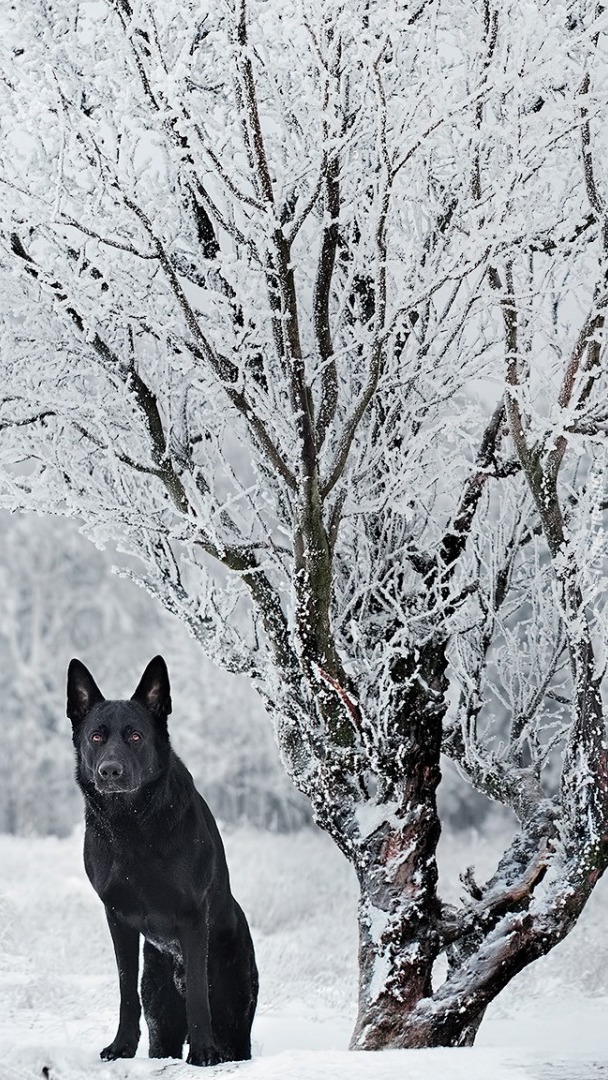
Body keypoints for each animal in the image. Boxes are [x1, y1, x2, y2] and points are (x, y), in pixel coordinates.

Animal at [67, 652, 258, 1067]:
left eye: (136, 736)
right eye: (96, 736)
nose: (110, 771)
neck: (131, 826)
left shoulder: (192, 915)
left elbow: (199, 996)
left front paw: (203, 1052)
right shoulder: (117, 918)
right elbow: (125, 992)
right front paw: (121, 1046)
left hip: (236, 1021)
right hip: (161, 1015)